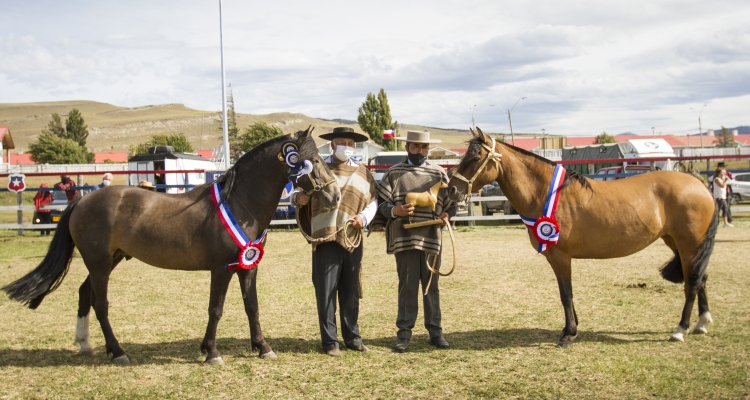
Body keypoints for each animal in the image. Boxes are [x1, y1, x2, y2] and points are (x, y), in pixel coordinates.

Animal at [1, 126, 342, 364]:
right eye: (311, 161)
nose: (335, 195)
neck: (238, 203)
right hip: (99, 263)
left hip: (108, 260)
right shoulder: (221, 268)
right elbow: (216, 309)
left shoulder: (248, 267)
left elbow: (252, 307)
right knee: (100, 303)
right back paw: (117, 351)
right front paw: (211, 352)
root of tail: (83, 200)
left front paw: (262, 347)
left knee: (85, 293)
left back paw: (85, 345)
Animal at [450, 127, 720, 346]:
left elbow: (566, 293)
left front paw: (569, 333)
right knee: (701, 277)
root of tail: (699, 184)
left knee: (692, 283)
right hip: (677, 242)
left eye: (475, 158)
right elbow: (565, 293)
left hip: (688, 244)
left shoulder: (561, 256)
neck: (549, 194)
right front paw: (572, 328)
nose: (452, 189)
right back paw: (701, 323)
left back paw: (680, 330)